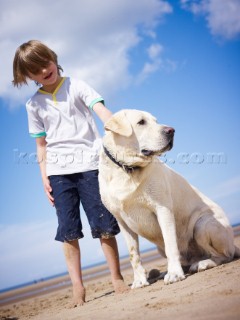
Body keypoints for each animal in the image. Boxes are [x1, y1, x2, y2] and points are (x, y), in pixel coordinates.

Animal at [98, 109, 240, 288]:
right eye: (141, 122)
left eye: (156, 121)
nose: (171, 130)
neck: (127, 170)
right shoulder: (122, 222)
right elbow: (133, 255)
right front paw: (139, 280)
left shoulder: (163, 209)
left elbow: (170, 245)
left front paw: (174, 274)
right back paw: (163, 272)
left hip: (203, 225)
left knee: (224, 255)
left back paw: (202, 263)